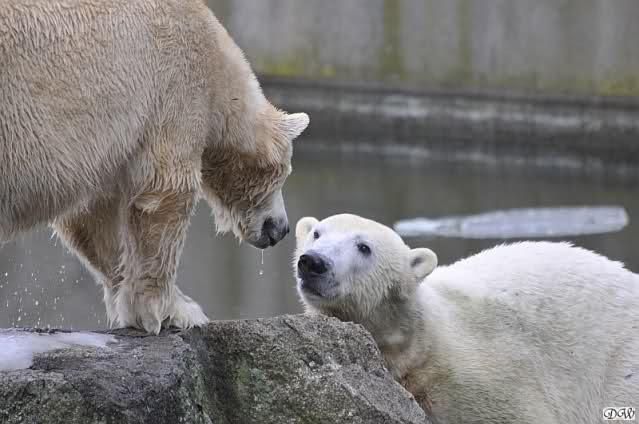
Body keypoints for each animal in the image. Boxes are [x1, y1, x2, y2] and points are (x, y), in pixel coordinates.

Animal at [0, 0, 309, 334]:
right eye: (283, 172)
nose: (280, 228)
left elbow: (95, 219)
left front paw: (129, 299)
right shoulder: (176, 86)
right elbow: (166, 191)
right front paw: (176, 311)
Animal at [294, 214, 639, 424]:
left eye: (364, 247)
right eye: (317, 233)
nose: (314, 262)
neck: (420, 344)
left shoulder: (484, 381)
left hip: (621, 364)